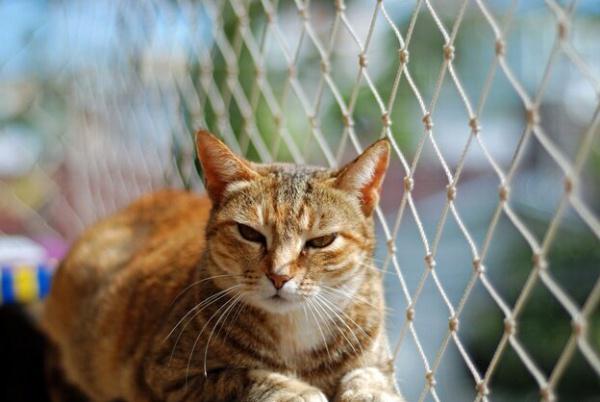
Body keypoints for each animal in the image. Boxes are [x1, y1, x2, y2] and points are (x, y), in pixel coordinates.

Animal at [43, 130, 404, 400]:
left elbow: (369, 376)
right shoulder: (166, 376)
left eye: (321, 241)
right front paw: (297, 391)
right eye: (250, 233)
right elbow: (244, 377)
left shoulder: (376, 359)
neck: (295, 333)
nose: (279, 276)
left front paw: (367, 391)